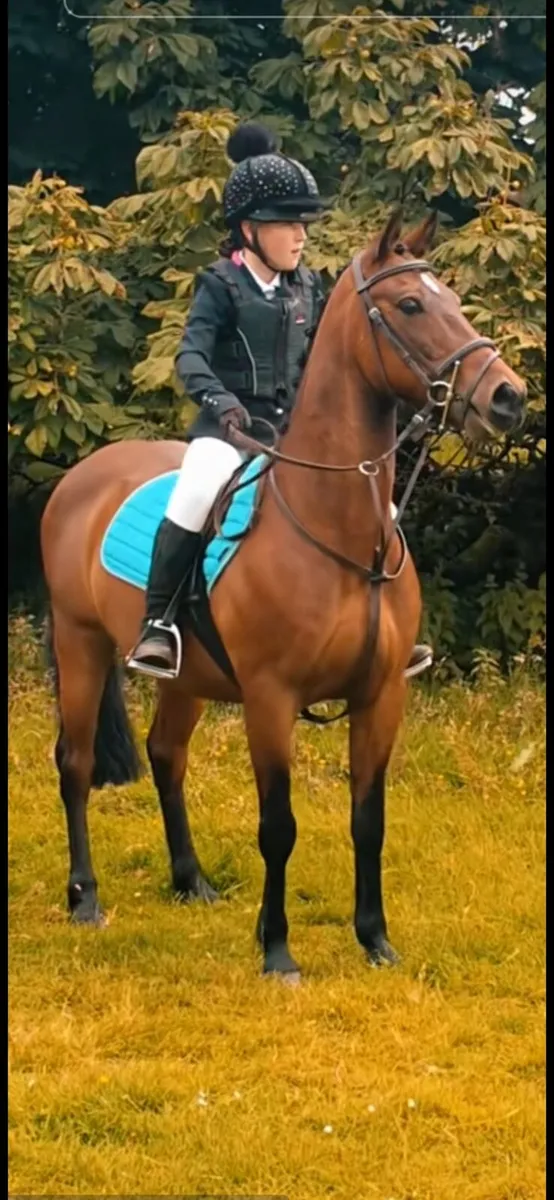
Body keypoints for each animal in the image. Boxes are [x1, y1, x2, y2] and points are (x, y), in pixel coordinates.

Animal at [40, 208, 526, 980]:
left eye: (451, 297)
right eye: (410, 305)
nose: (508, 398)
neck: (344, 536)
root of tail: (84, 475)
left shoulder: (381, 696)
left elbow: (369, 819)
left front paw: (375, 940)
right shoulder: (271, 700)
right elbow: (279, 826)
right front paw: (277, 952)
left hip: (186, 676)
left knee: (165, 754)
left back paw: (192, 882)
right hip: (79, 643)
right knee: (77, 763)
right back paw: (85, 899)